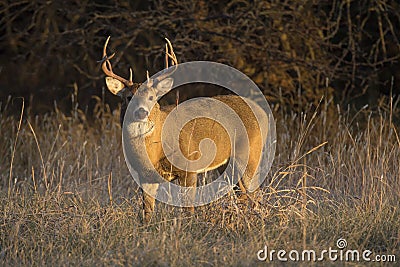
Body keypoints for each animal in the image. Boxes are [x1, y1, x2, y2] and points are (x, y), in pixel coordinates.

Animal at [99, 36, 268, 224]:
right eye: (129, 97)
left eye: (152, 97)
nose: (141, 111)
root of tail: (263, 113)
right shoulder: (145, 176)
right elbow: (147, 212)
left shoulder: (189, 166)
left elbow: (188, 208)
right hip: (227, 165)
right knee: (243, 194)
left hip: (250, 154)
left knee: (256, 194)